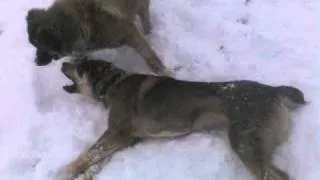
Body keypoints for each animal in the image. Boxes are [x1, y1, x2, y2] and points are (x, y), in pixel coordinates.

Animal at [25, 0, 172, 76]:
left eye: (40, 46)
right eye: (34, 45)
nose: (36, 62)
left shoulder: (129, 33)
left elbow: (149, 55)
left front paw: (162, 70)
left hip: (140, 7)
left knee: (145, 16)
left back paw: (149, 32)